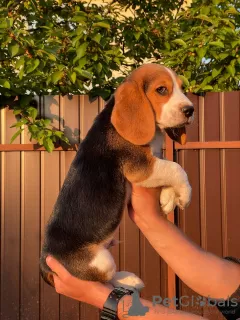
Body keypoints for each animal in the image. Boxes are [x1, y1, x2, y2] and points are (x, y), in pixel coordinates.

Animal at [39, 63, 193, 290]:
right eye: (162, 90)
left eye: (182, 88)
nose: (190, 110)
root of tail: (44, 263)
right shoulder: (142, 168)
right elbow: (176, 168)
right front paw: (185, 194)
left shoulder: (154, 159)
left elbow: (170, 166)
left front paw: (168, 198)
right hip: (102, 261)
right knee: (106, 279)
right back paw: (129, 280)